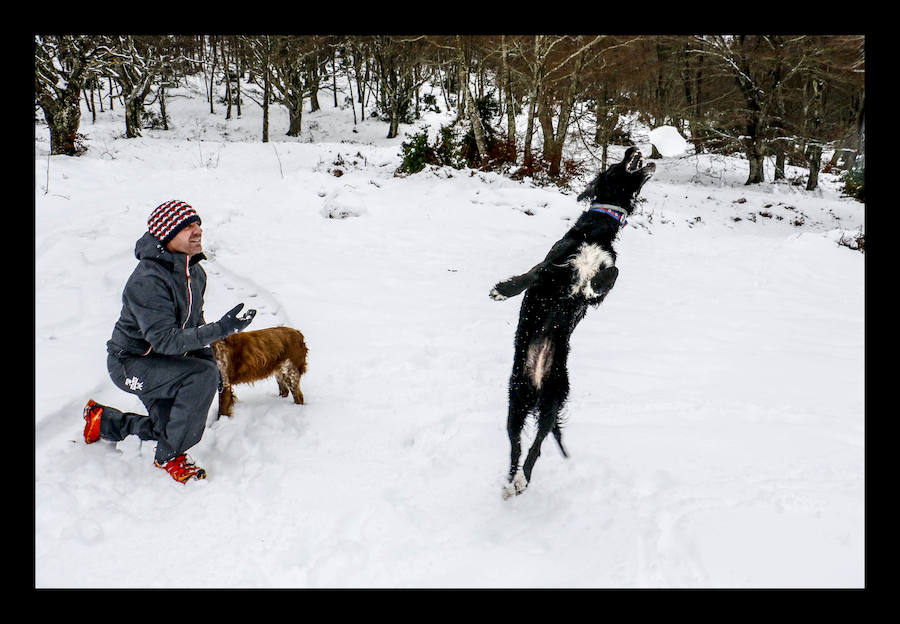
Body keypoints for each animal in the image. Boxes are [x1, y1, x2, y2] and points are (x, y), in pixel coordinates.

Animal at [492, 146, 652, 498]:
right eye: (617, 164)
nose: (632, 148)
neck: (598, 229)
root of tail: (536, 381)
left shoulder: (600, 284)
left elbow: (611, 274)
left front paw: (592, 283)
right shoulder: (553, 265)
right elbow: (532, 274)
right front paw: (502, 290)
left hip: (554, 398)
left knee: (536, 445)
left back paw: (521, 481)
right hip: (515, 402)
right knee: (515, 445)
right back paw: (511, 482)